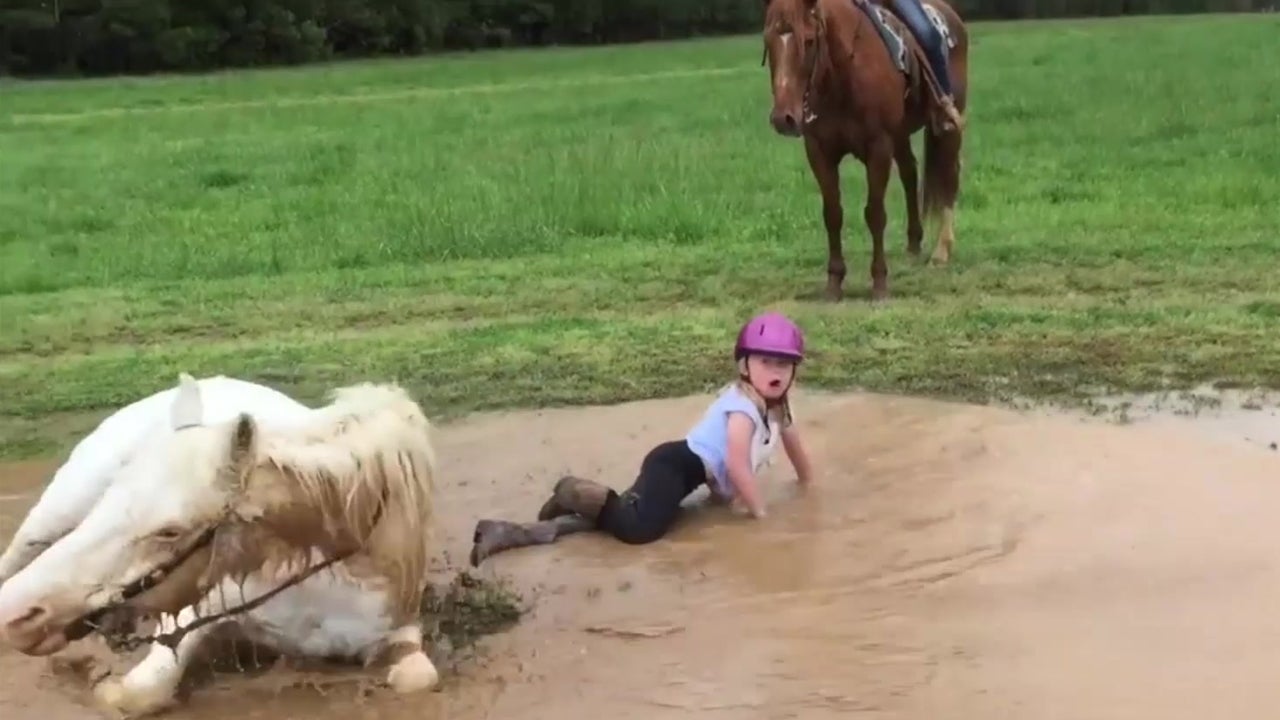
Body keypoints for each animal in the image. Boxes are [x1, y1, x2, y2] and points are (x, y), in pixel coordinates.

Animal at [0, 373, 441, 717]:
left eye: (170, 531)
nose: (18, 615)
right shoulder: (193, 612)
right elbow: (138, 691)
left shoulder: (400, 628)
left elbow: (419, 677)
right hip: (52, 514)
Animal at [762, 0, 969, 302]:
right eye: (769, 41)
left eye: (809, 41)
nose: (783, 119)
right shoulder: (819, 152)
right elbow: (832, 214)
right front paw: (834, 283)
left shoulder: (878, 147)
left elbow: (875, 214)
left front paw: (879, 282)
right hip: (900, 135)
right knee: (909, 173)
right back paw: (913, 244)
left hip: (948, 128)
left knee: (949, 177)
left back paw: (941, 252)